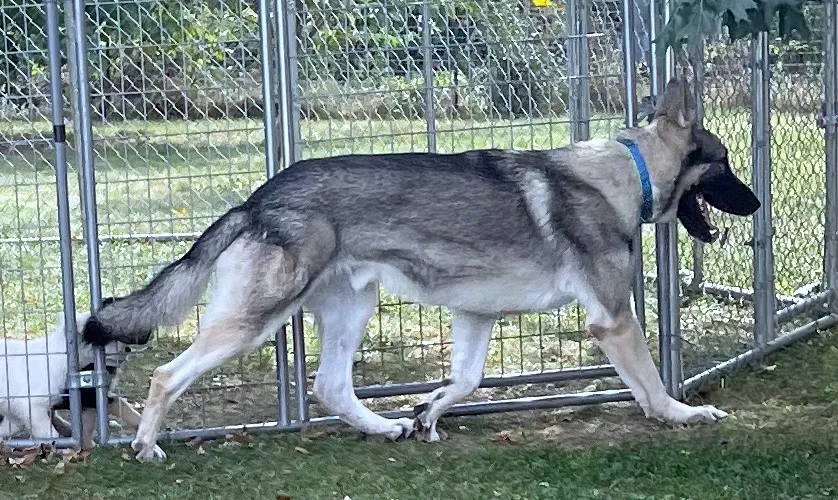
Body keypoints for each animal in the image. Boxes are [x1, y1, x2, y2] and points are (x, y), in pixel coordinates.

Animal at [83, 77, 760, 460]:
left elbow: (465, 382)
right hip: (253, 323)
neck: (627, 173)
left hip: (352, 311)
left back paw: (384, 428)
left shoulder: (477, 316)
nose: (757, 205)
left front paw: (427, 412)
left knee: (330, 388)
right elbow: (651, 384)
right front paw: (681, 416)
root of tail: (256, 199)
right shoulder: (613, 320)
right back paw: (144, 446)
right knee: (166, 374)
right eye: (726, 164)